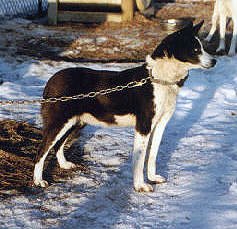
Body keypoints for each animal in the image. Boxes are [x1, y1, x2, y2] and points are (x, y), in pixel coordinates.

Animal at [33, 21, 217, 191]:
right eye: (195, 50)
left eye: (201, 47)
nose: (215, 61)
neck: (159, 79)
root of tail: (51, 81)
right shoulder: (143, 127)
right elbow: (139, 159)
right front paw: (140, 186)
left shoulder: (160, 125)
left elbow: (152, 155)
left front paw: (152, 178)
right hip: (59, 123)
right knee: (42, 150)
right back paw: (38, 181)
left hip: (76, 123)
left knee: (58, 145)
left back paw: (64, 165)